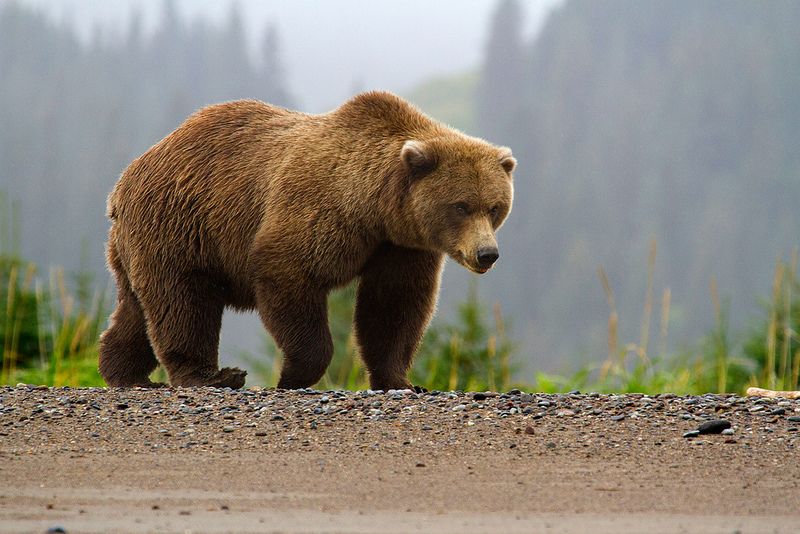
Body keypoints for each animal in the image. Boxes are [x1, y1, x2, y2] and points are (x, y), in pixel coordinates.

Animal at [98, 91, 515, 390]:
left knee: (137, 308)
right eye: (461, 206)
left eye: (495, 207)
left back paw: (125, 373)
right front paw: (292, 375)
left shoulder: (400, 246)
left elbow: (394, 305)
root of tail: (125, 180)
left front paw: (401, 380)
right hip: (181, 224)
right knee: (183, 302)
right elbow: (289, 274)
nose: (487, 254)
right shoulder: (320, 210)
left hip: (142, 242)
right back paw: (211, 376)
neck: (376, 207)